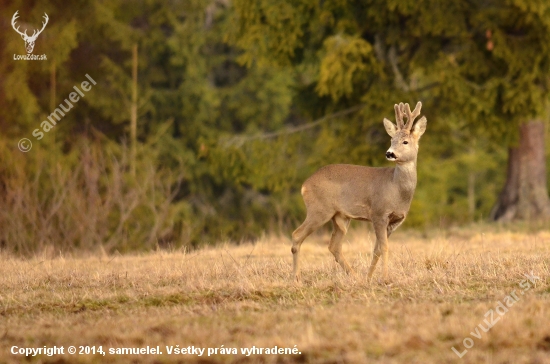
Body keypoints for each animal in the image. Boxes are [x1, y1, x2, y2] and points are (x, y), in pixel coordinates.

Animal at [292, 101, 430, 282]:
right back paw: (296, 278)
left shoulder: (395, 220)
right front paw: (385, 278)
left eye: (405, 141)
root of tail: (304, 185)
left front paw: (369, 278)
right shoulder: (378, 213)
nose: (389, 153)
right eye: (392, 139)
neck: (396, 189)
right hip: (319, 210)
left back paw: (355, 276)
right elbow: (384, 247)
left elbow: (377, 249)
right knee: (297, 235)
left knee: (334, 246)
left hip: (340, 217)